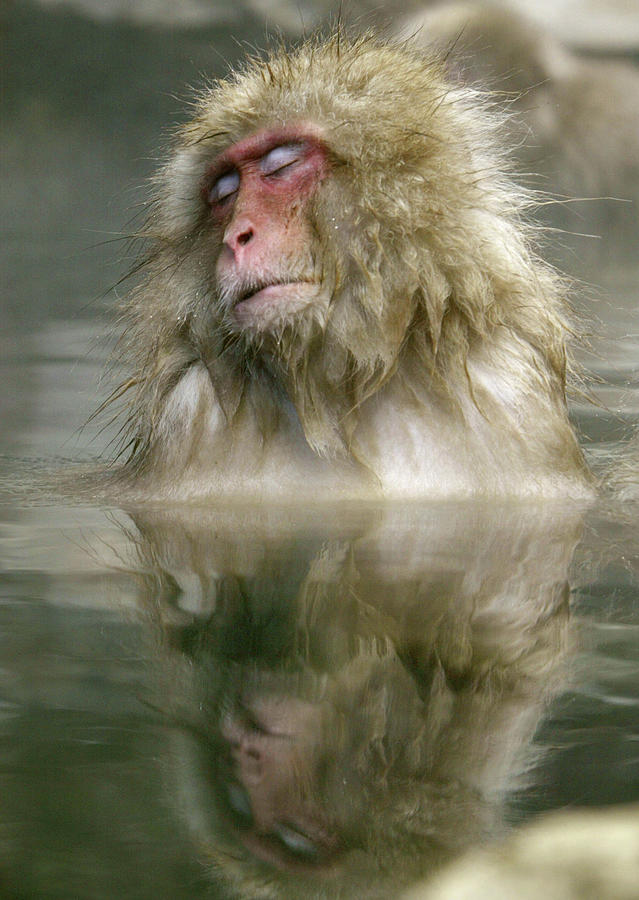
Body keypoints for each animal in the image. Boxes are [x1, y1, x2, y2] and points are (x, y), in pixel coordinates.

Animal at [107, 31, 596, 502]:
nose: (235, 237)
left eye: (281, 165)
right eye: (225, 192)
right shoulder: (190, 417)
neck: (347, 391)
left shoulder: (515, 395)